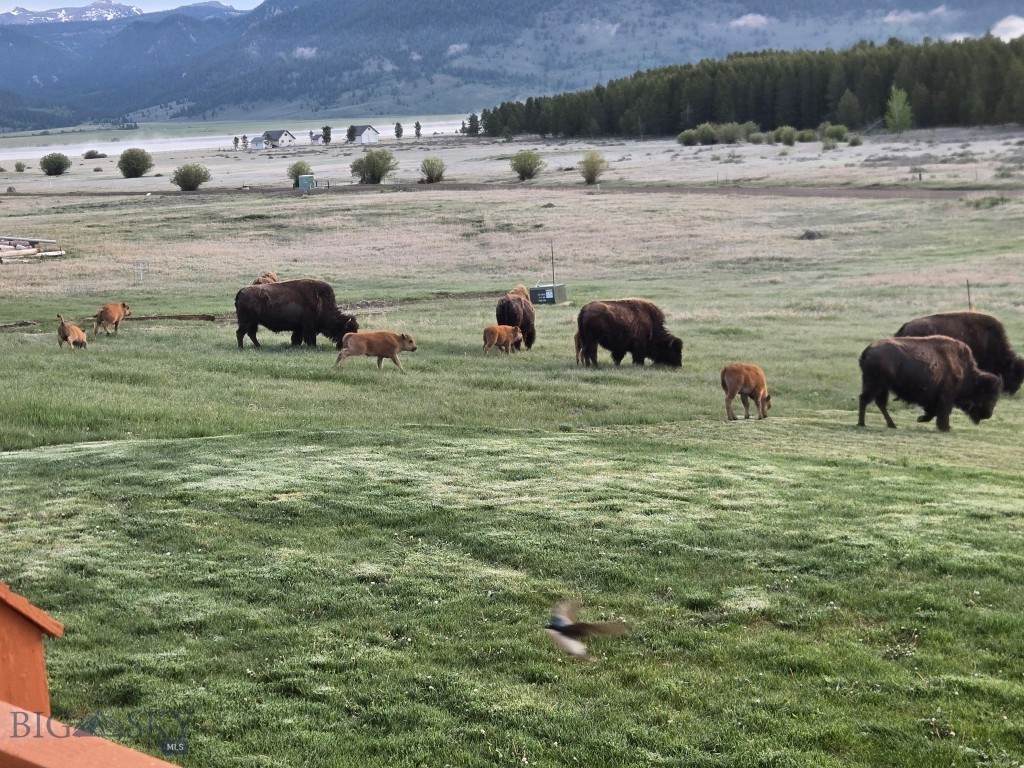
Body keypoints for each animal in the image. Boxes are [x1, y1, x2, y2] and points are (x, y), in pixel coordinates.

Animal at [857, 335, 1002, 431]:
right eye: (988, 395)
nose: (988, 415)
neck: (964, 370)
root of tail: (868, 350)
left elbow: (933, 411)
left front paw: (921, 419)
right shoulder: (946, 397)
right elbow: (943, 411)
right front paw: (945, 427)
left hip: (882, 387)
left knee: (879, 403)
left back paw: (891, 425)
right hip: (876, 385)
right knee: (865, 399)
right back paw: (862, 423)